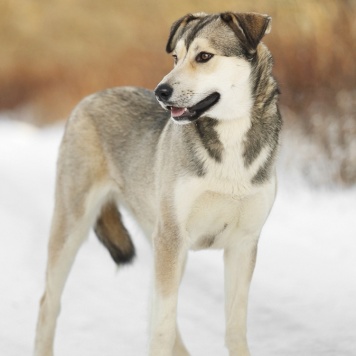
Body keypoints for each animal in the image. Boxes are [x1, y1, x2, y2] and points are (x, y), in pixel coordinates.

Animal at [34, 11, 282, 356]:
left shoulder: (242, 244)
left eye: (203, 57)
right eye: (176, 57)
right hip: (75, 226)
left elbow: (234, 328)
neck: (229, 137)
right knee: (49, 303)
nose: (160, 92)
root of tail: (90, 98)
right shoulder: (172, 237)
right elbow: (162, 326)